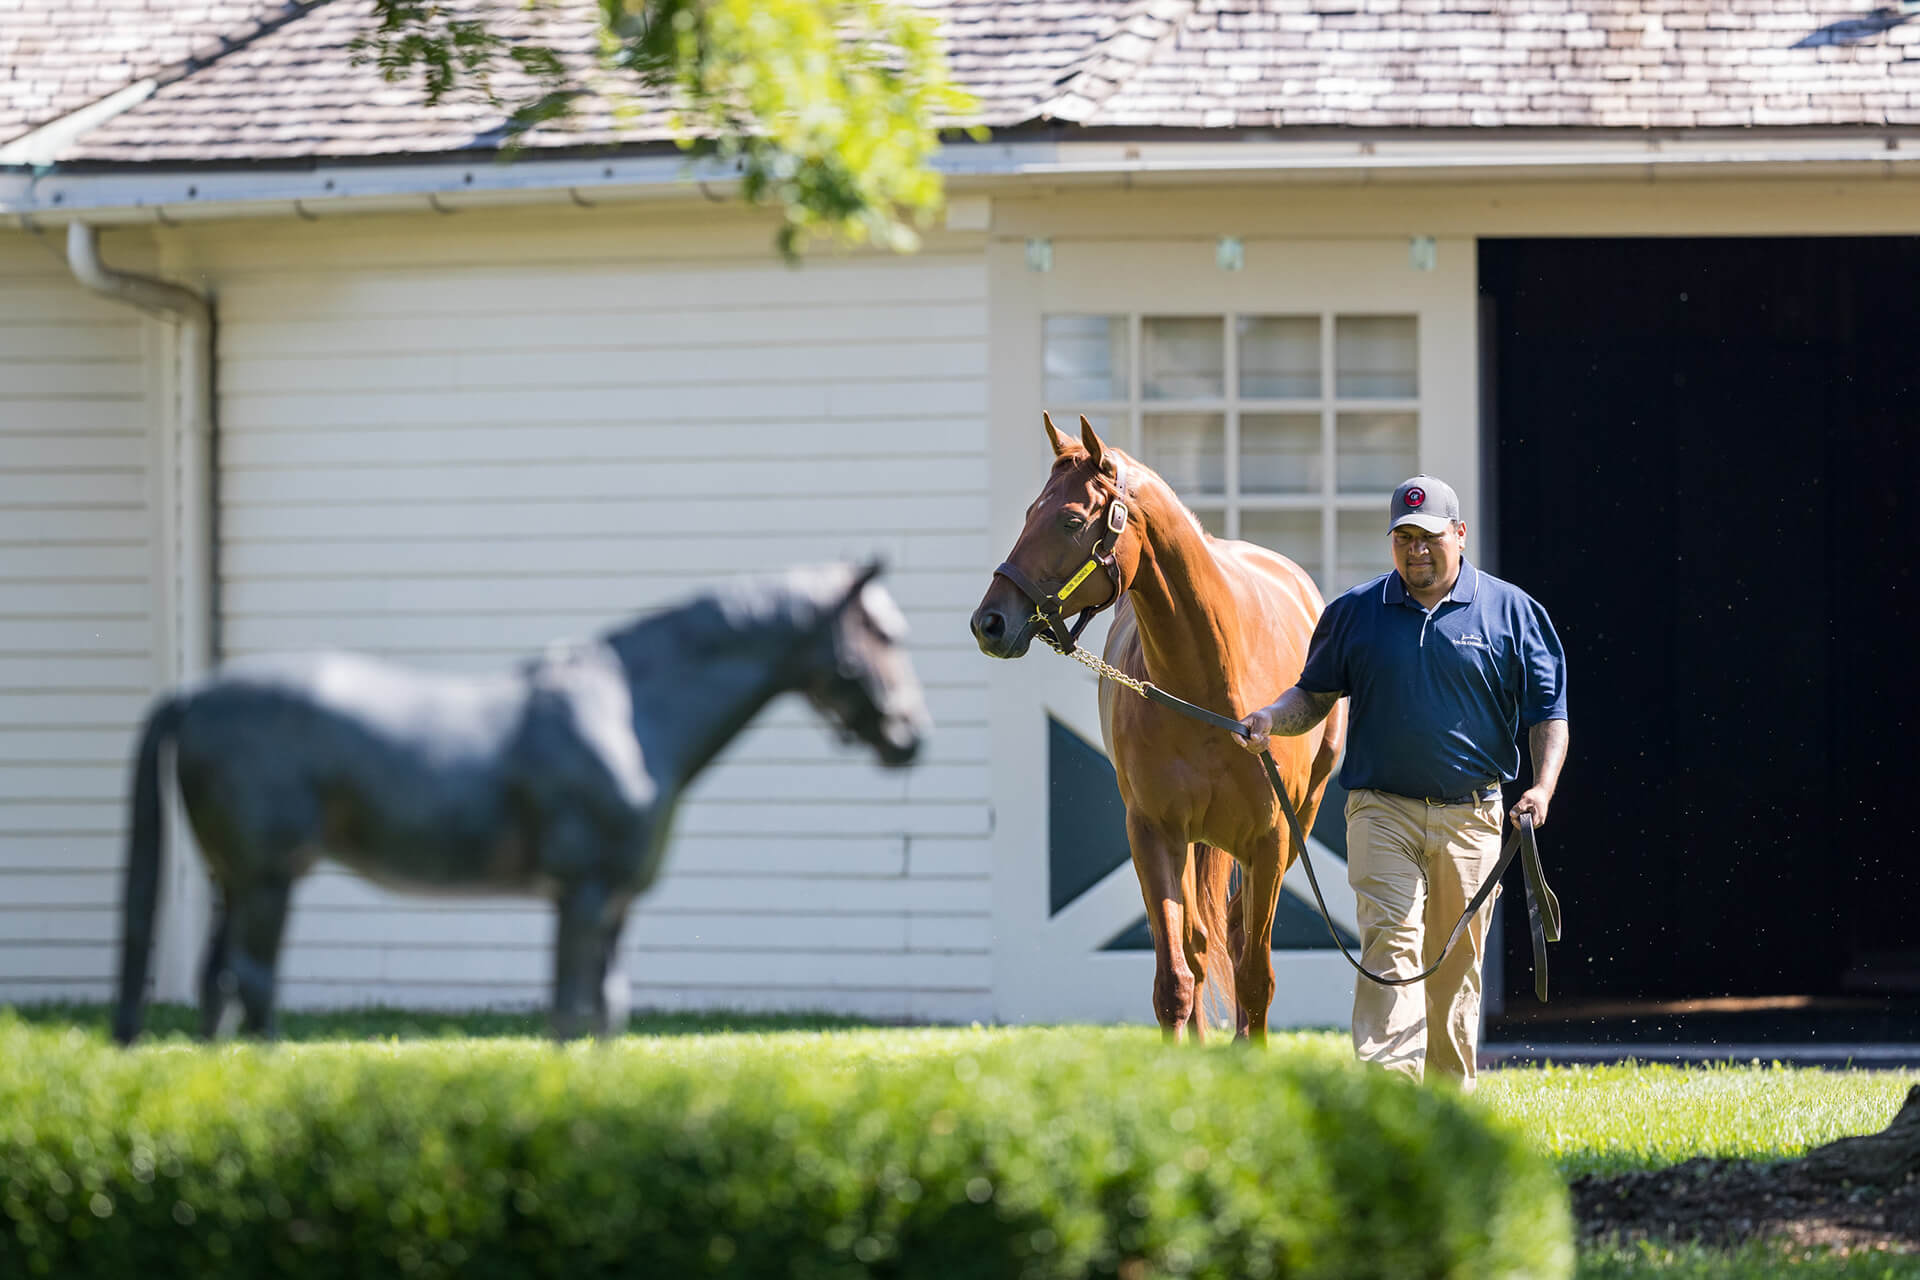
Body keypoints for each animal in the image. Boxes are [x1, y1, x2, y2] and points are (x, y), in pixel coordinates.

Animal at [967, 418, 1344, 1043]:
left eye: (1071, 521)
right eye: (1027, 514)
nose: (989, 622)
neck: (1210, 687)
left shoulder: (1271, 841)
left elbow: (1255, 977)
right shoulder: (1153, 834)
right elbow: (1174, 980)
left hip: (1296, 828)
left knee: (1236, 937)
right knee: (1197, 945)